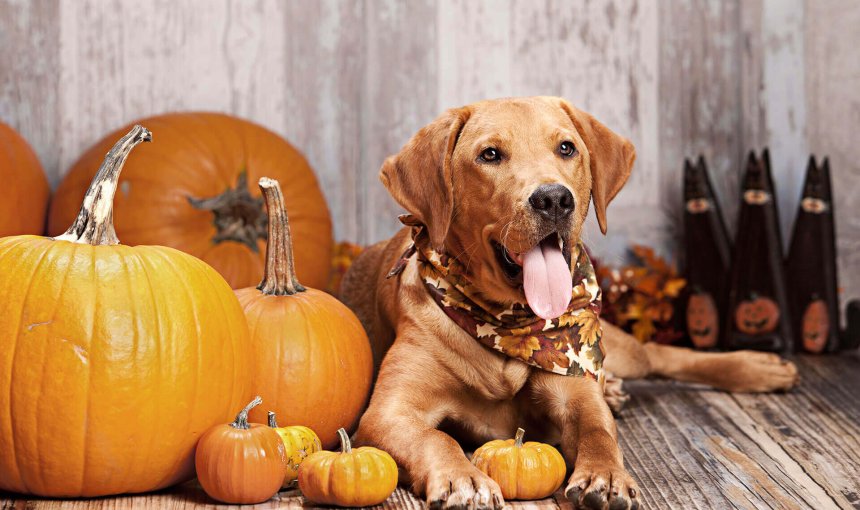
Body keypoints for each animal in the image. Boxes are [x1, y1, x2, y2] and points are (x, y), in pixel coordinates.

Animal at [340, 96, 796, 510]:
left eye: (566, 148)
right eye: (490, 154)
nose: (554, 199)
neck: (507, 320)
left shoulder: (576, 393)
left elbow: (599, 432)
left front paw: (607, 476)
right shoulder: (387, 414)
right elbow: (435, 437)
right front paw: (461, 478)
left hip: (616, 349)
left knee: (657, 352)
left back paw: (757, 367)